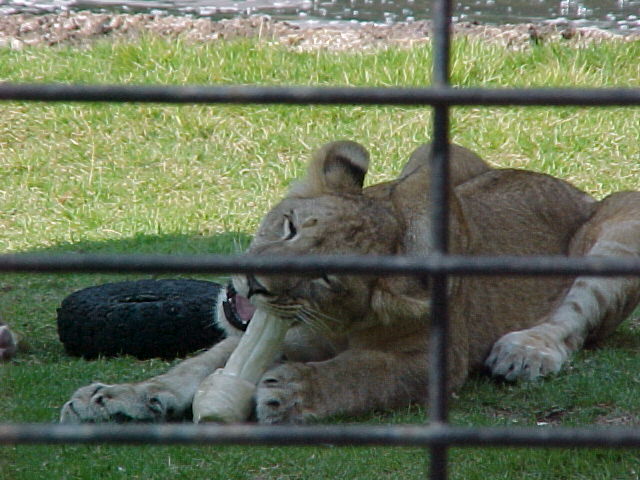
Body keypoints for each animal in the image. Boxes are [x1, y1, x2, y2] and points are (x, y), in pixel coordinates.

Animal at [60, 142, 640, 424]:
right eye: (291, 227)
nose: (254, 282)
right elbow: (195, 367)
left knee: (573, 320)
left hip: (622, 221)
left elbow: (364, 372)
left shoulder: (435, 357)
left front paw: (295, 391)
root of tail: (575, 190)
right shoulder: (270, 331)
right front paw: (117, 397)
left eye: (324, 276)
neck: (333, 326)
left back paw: (525, 351)